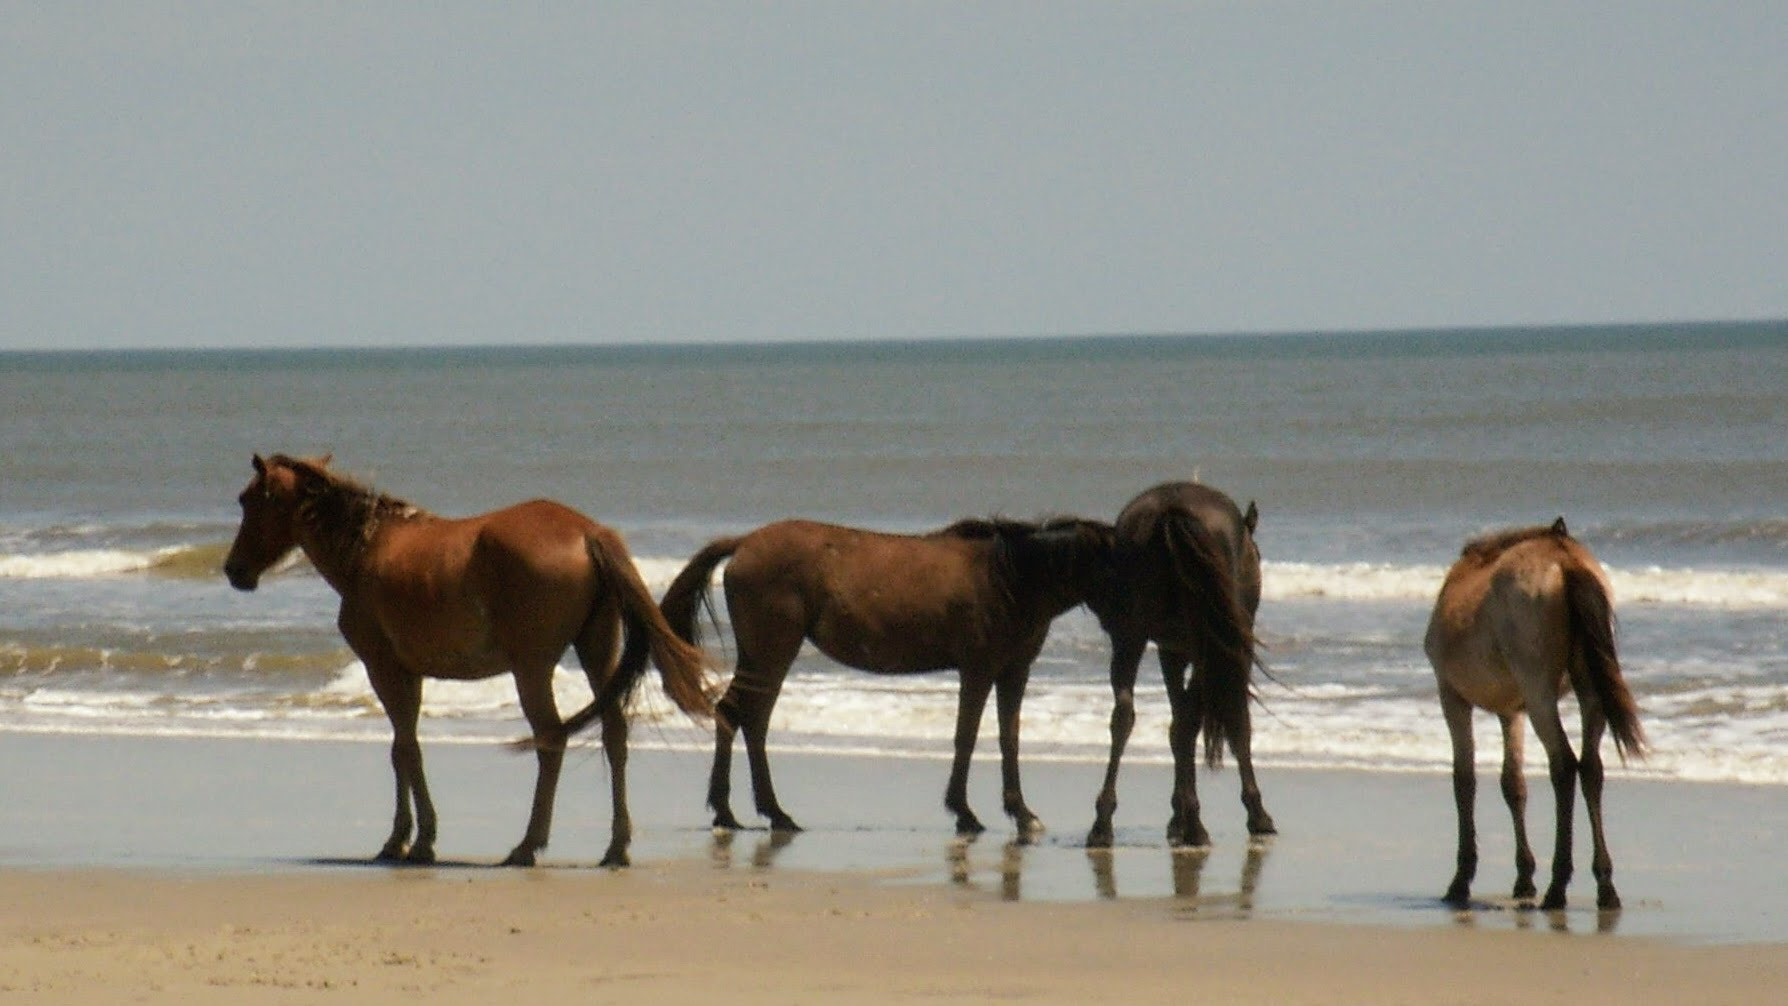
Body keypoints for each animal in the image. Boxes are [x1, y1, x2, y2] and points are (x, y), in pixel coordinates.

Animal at [227, 453, 715, 864]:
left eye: (249, 500)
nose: (234, 570)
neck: (367, 547)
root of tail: (586, 532)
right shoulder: (411, 674)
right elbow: (402, 748)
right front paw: (405, 838)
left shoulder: (384, 669)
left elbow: (405, 749)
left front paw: (413, 841)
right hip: (597, 652)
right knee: (614, 735)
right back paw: (616, 847)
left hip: (532, 669)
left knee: (551, 738)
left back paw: (527, 845)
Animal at [1423, 518, 1644, 914]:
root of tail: (1564, 559)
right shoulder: (1512, 712)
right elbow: (1514, 784)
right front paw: (1524, 879)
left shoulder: (1452, 697)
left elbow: (1464, 780)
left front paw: (1461, 880)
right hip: (1588, 691)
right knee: (1591, 768)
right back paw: (1605, 887)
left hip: (1539, 693)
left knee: (1564, 765)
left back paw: (1558, 887)